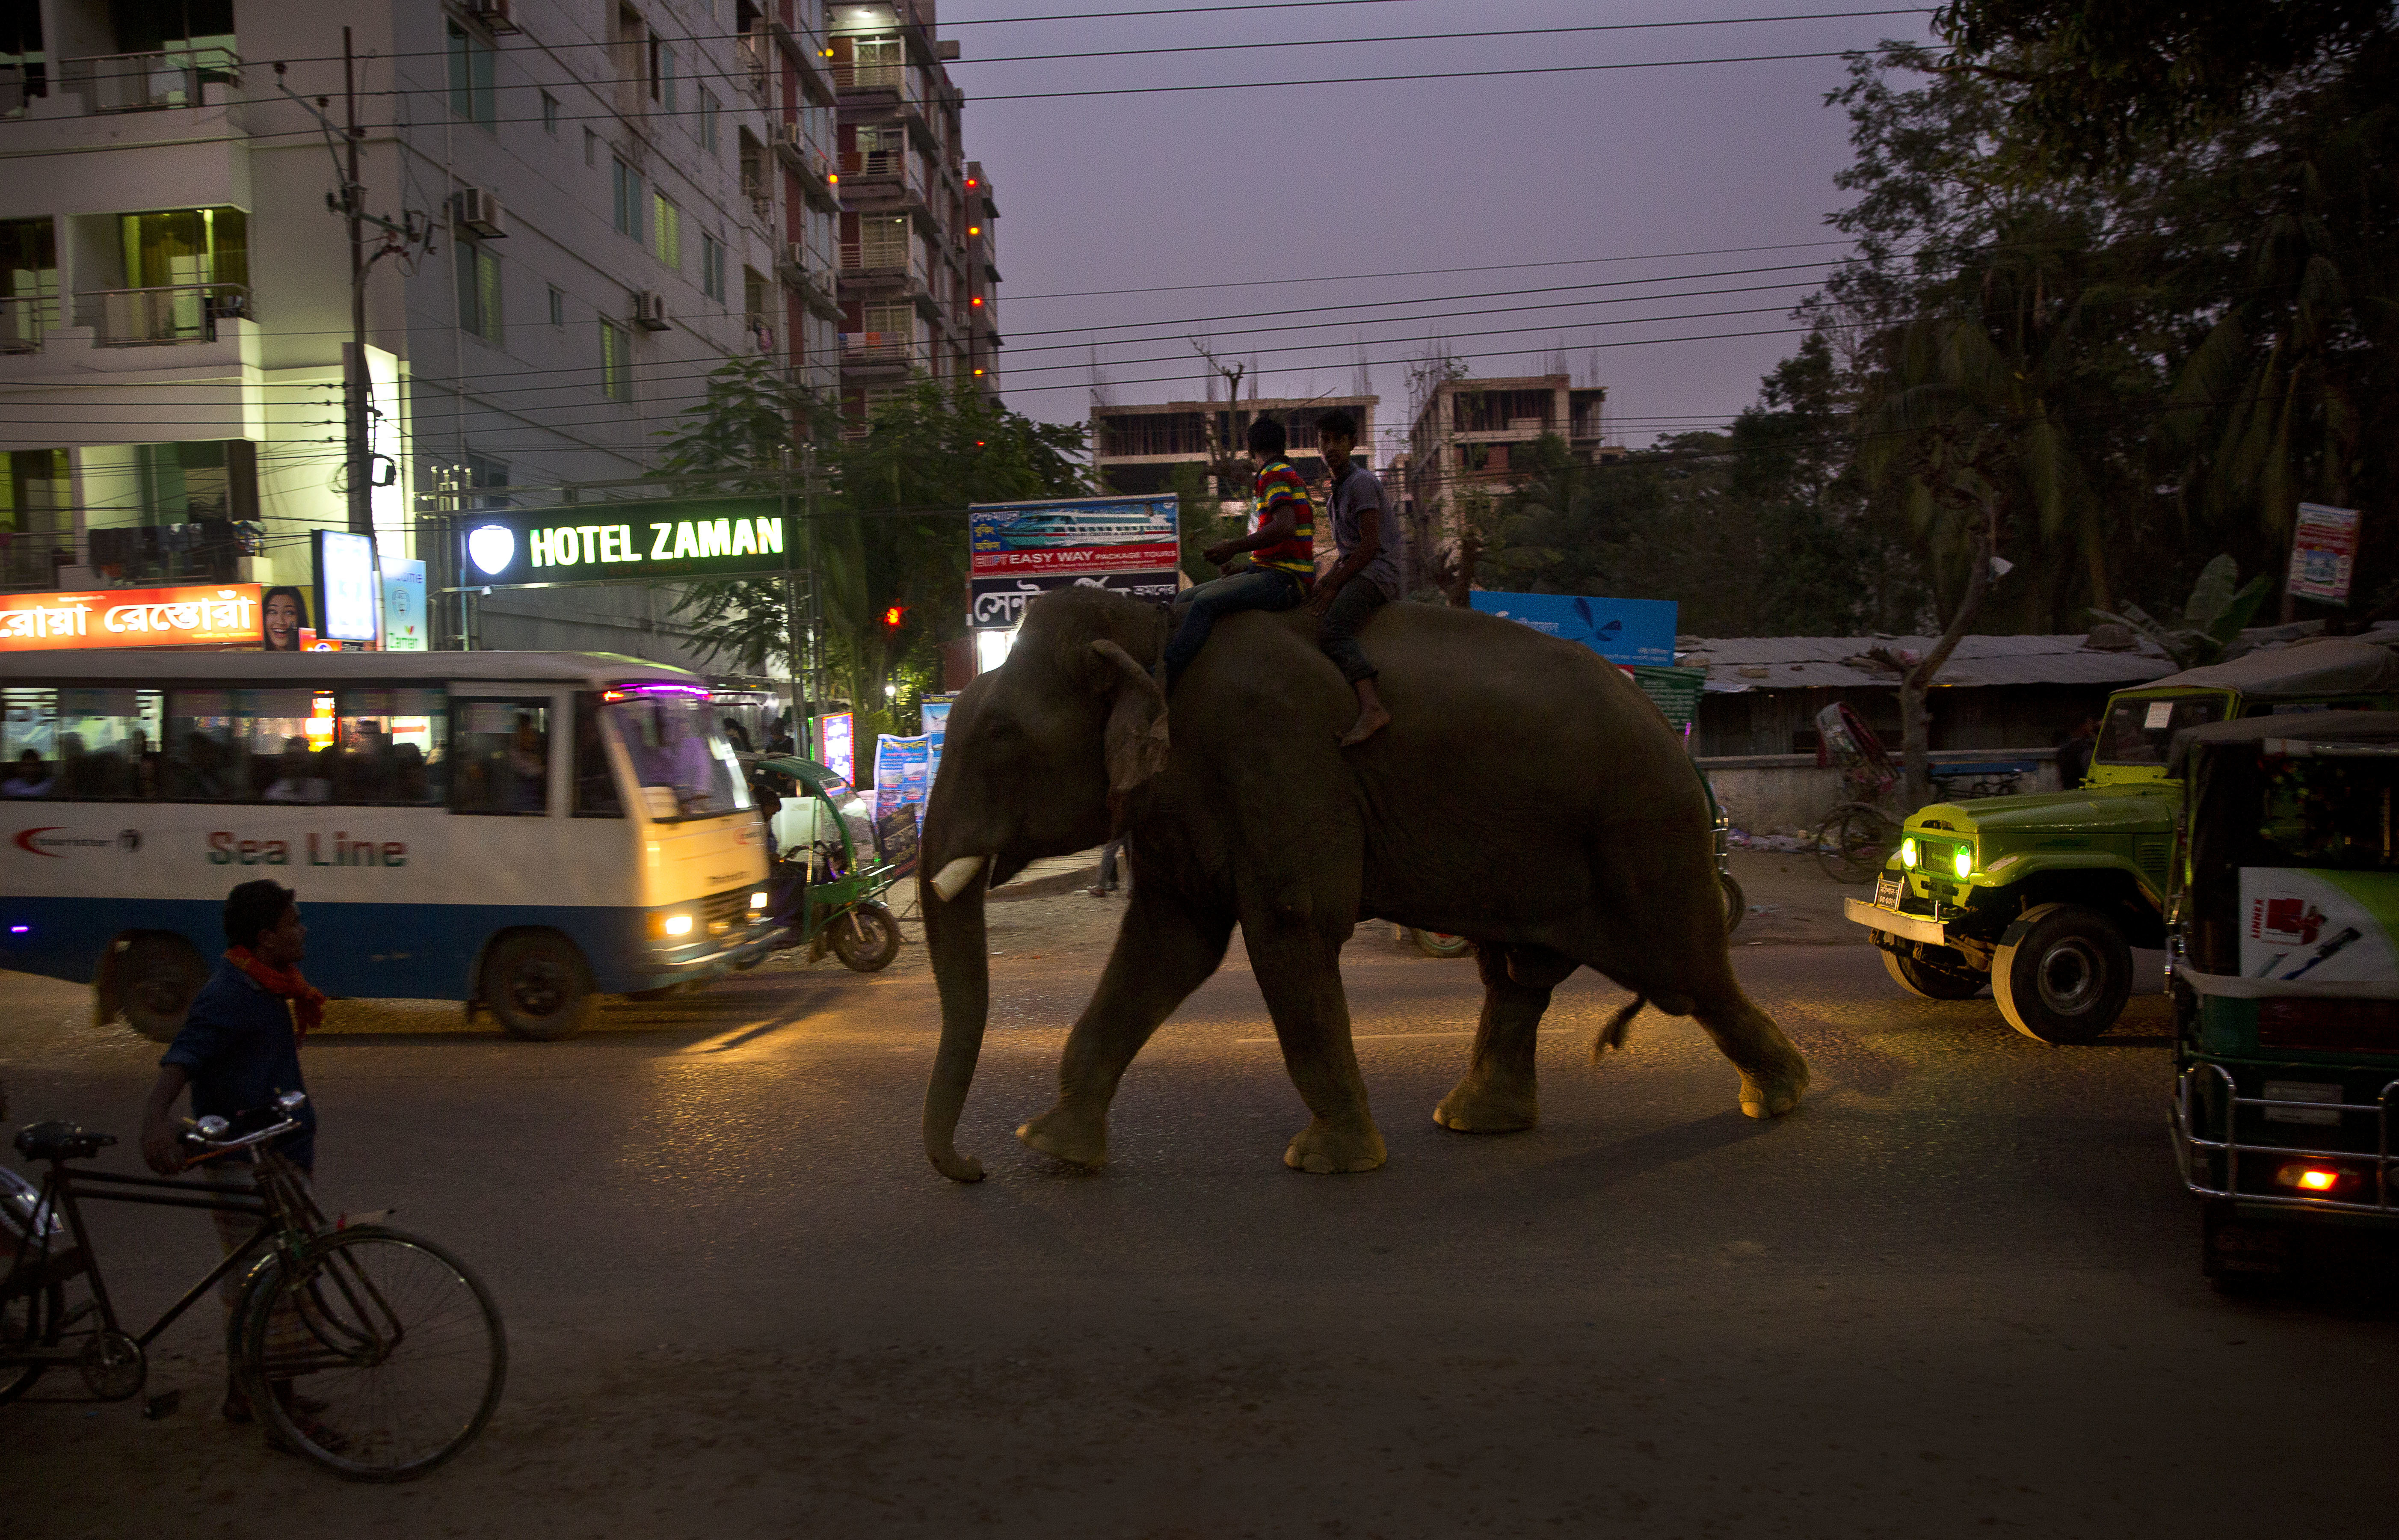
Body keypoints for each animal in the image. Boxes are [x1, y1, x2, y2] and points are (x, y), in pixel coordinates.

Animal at [912, 580, 1804, 1180]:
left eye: (999, 738)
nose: (972, 1170)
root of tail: (1666, 728)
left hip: (1640, 829)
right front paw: (1052, 1147)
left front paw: (1326, 1162)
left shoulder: (1277, 753)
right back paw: (1475, 1121)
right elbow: (1170, 941)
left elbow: (1290, 922)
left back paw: (1780, 1096)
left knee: (1686, 973)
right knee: (1517, 975)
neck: (1151, 627)